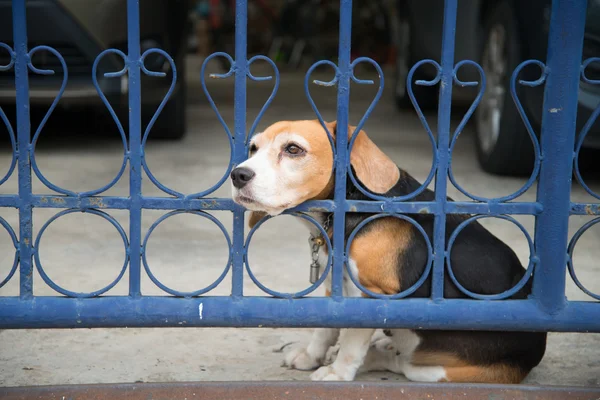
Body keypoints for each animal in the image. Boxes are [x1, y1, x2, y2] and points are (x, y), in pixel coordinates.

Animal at [231, 120, 548, 382]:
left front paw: (337, 373)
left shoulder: (371, 293)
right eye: (253, 147)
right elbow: (326, 328)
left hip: (436, 370)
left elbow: (350, 342)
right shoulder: (336, 281)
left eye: (293, 149)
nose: (237, 174)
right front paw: (311, 356)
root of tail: (534, 354)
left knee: (401, 364)